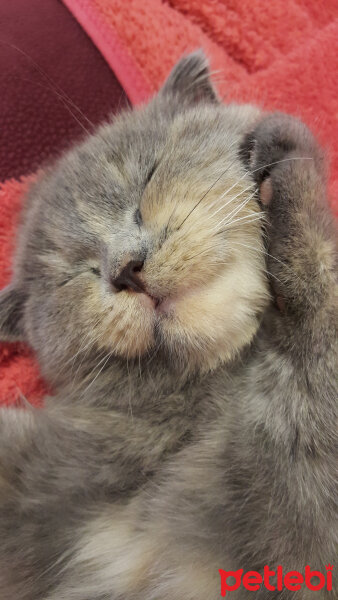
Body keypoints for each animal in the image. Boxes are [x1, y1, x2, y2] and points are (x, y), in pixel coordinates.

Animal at [0, 51, 336, 600]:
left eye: (149, 175)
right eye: (74, 271)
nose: (123, 269)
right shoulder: (289, 493)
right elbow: (317, 309)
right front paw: (285, 153)